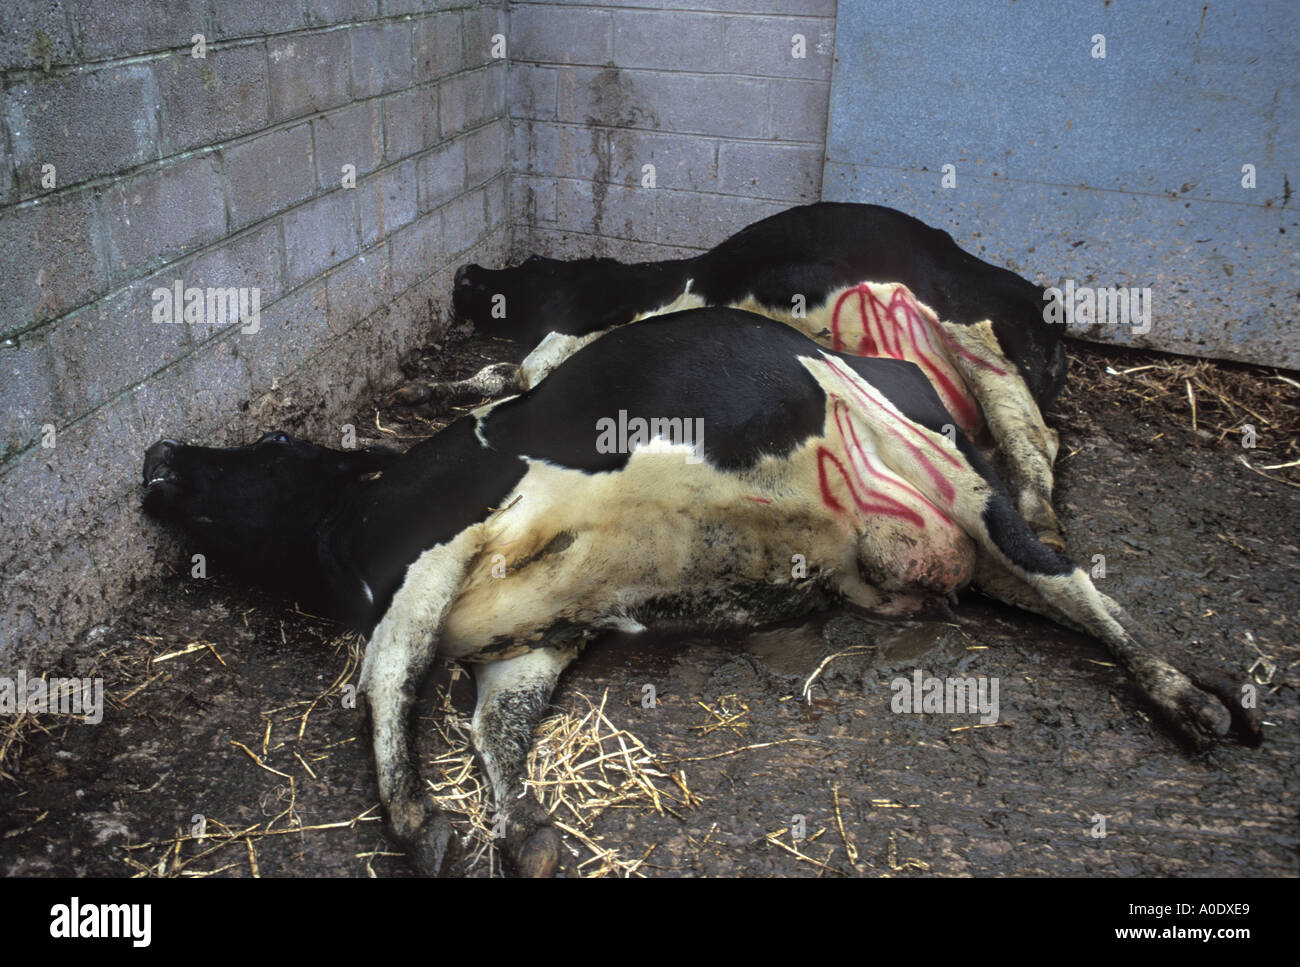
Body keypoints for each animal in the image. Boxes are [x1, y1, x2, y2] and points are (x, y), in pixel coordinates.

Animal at [144, 309, 1258, 878]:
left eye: (271, 441)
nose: (157, 454)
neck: (358, 527)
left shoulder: (444, 540)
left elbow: (383, 671)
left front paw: (419, 819)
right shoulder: (529, 639)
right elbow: (494, 726)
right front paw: (521, 829)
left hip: (978, 495)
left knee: (1088, 594)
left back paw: (1188, 695)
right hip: (975, 542)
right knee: (1059, 589)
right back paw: (1194, 695)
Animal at [403, 201, 1066, 551]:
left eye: (527, 263)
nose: (463, 270)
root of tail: (1038, 295)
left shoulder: (606, 310)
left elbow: (528, 368)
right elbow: (511, 370)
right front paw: (425, 388)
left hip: (973, 333)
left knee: (1033, 438)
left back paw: (1041, 522)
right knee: (1043, 435)